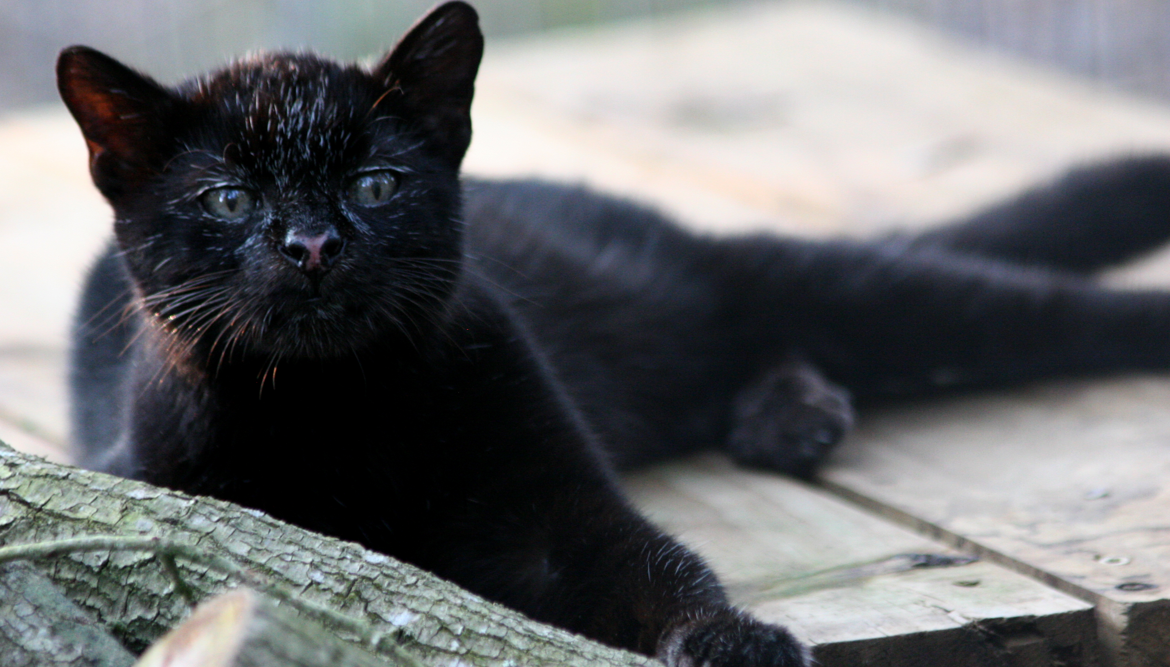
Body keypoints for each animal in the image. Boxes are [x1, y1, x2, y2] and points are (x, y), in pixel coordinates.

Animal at [57, 2, 1170, 659]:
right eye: (231, 199)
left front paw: (734, 642)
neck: (340, 410)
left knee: (1003, 307)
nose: (313, 243)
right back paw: (789, 419)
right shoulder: (159, 479)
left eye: (375, 183)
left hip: (798, 285)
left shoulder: (556, 502)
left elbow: (658, 567)